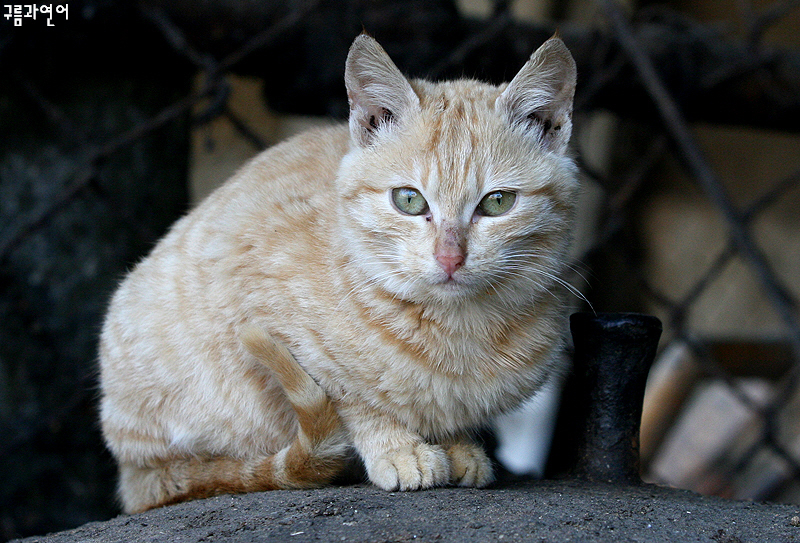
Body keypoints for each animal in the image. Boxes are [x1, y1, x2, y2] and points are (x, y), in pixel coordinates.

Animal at [98, 33, 576, 516]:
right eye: (408, 200)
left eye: (498, 202)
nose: (449, 258)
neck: (457, 329)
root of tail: (132, 475)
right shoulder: (261, 301)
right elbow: (352, 397)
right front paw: (398, 448)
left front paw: (457, 445)